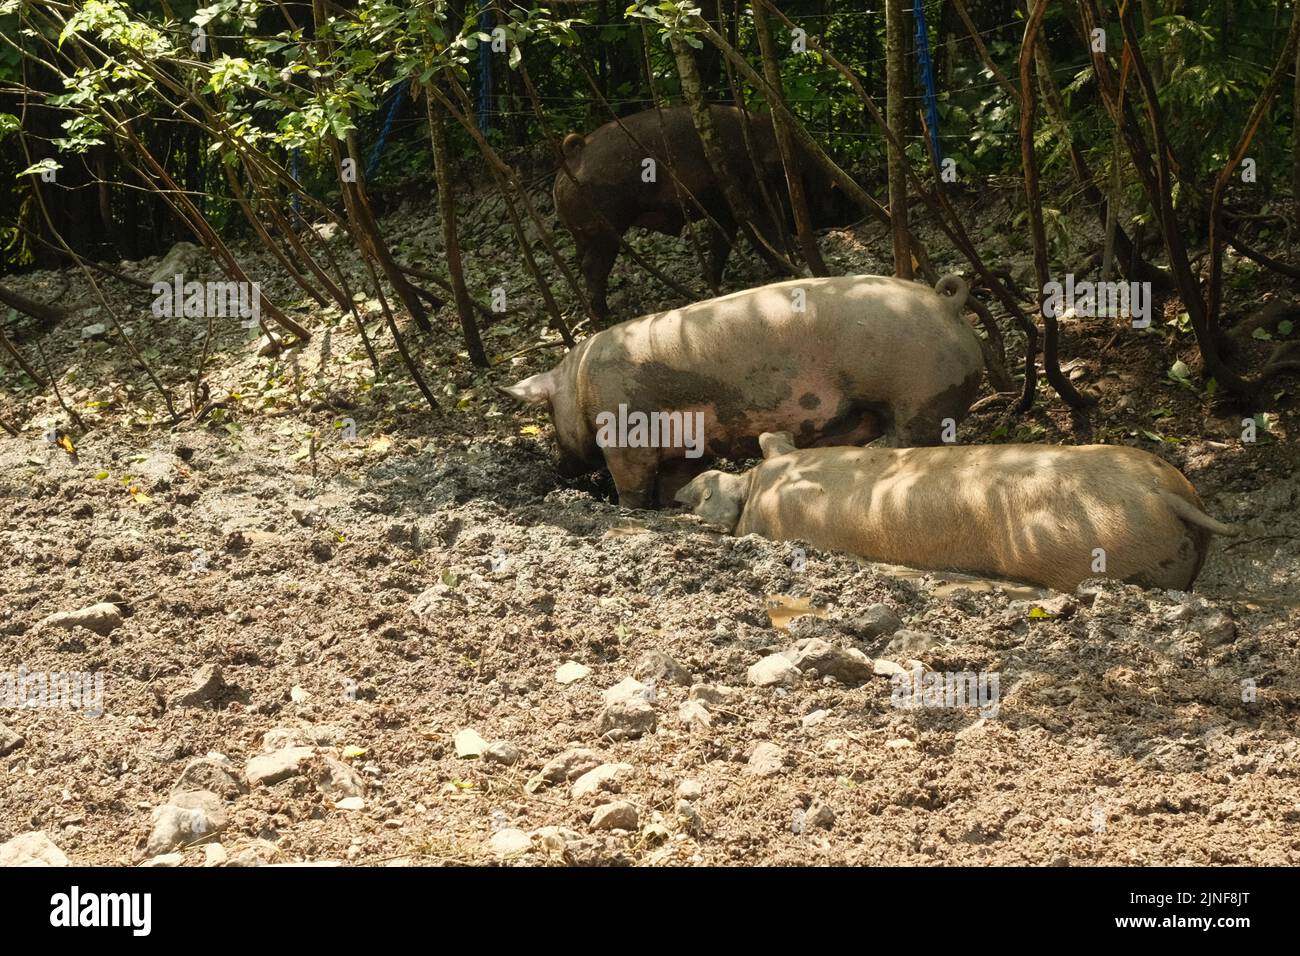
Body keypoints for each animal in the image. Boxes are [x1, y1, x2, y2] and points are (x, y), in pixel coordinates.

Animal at [503, 274, 984, 509]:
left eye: (548, 413)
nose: (559, 467)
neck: (579, 381)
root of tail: (947, 303)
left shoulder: (625, 433)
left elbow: (633, 482)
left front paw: (629, 510)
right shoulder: (686, 443)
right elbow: (676, 480)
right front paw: (674, 508)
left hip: (917, 396)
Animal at [553, 105, 855, 319]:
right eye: (832, 194)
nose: (851, 213)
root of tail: (575, 155)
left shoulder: (723, 211)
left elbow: (721, 243)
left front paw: (712, 279)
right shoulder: (749, 200)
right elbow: (764, 233)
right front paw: (786, 267)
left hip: (585, 234)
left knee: (581, 261)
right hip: (605, 228)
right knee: (593, 266)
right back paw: (605, 314)